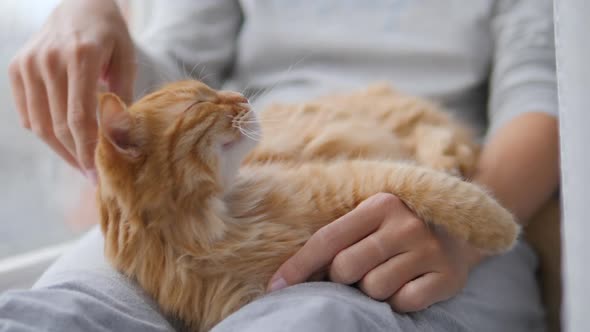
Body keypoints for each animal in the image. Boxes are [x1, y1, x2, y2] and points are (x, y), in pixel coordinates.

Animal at [96, 80, 524, 330]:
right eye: (200, 103)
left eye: (213, 90)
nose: (241, 97)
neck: (221, 225)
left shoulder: (350, 178)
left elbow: (433, 188)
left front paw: (501, 228)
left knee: (437, 133)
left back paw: (446, 159)